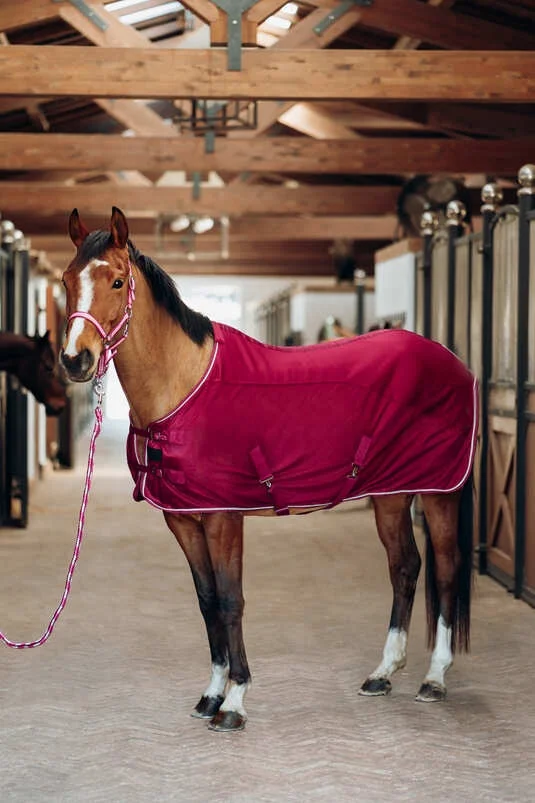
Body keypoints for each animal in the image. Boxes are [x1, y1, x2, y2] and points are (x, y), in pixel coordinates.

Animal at [60, 207, 477, 733]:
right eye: (67, 280)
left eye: (117, 281)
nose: (75, 360)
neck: (183, 384)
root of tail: (455, 364)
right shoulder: (183, 520)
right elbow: (207, 601)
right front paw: (210, 696)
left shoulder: (224, 518)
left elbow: (230, 599)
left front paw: (234, 703)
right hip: (391, 493)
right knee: (405, 567)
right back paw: (382, 673)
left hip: (440, 493)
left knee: (446, 568)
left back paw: (434, 678)